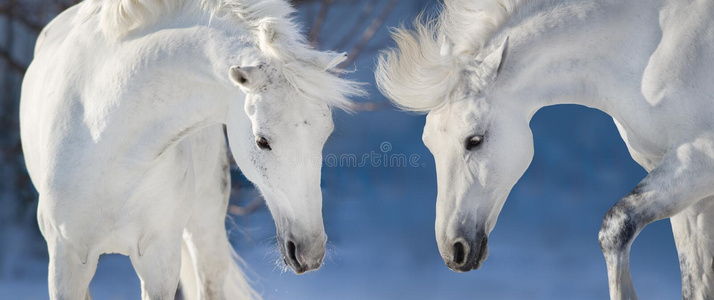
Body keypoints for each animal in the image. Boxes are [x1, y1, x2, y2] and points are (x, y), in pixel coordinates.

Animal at [20, 0, 364, 298]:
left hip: (206, 229)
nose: (310, 250)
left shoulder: (159, 258)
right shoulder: (65, 261)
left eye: (325, 135)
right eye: (262, 141)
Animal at [376, 0, 712, 298]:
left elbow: (616, 226)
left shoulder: (697, 163)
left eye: (474, 140)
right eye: (429, 144)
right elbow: (695, 284)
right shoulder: (689, 199)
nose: (453, 251)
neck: (651, 46)